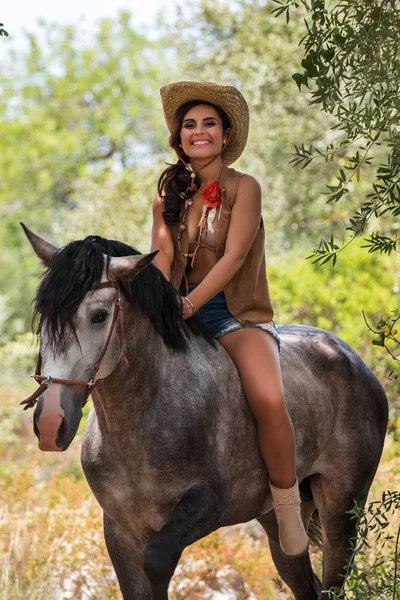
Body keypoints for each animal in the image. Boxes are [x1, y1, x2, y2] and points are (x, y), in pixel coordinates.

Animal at [21, 226, 388, 600]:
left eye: (99, 316)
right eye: (43, 316)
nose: (50, 424)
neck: (142, 418)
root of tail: (353, 359)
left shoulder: (205, 506)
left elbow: (157, 559)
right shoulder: (120, 529)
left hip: (342, 508)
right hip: (279, 522)